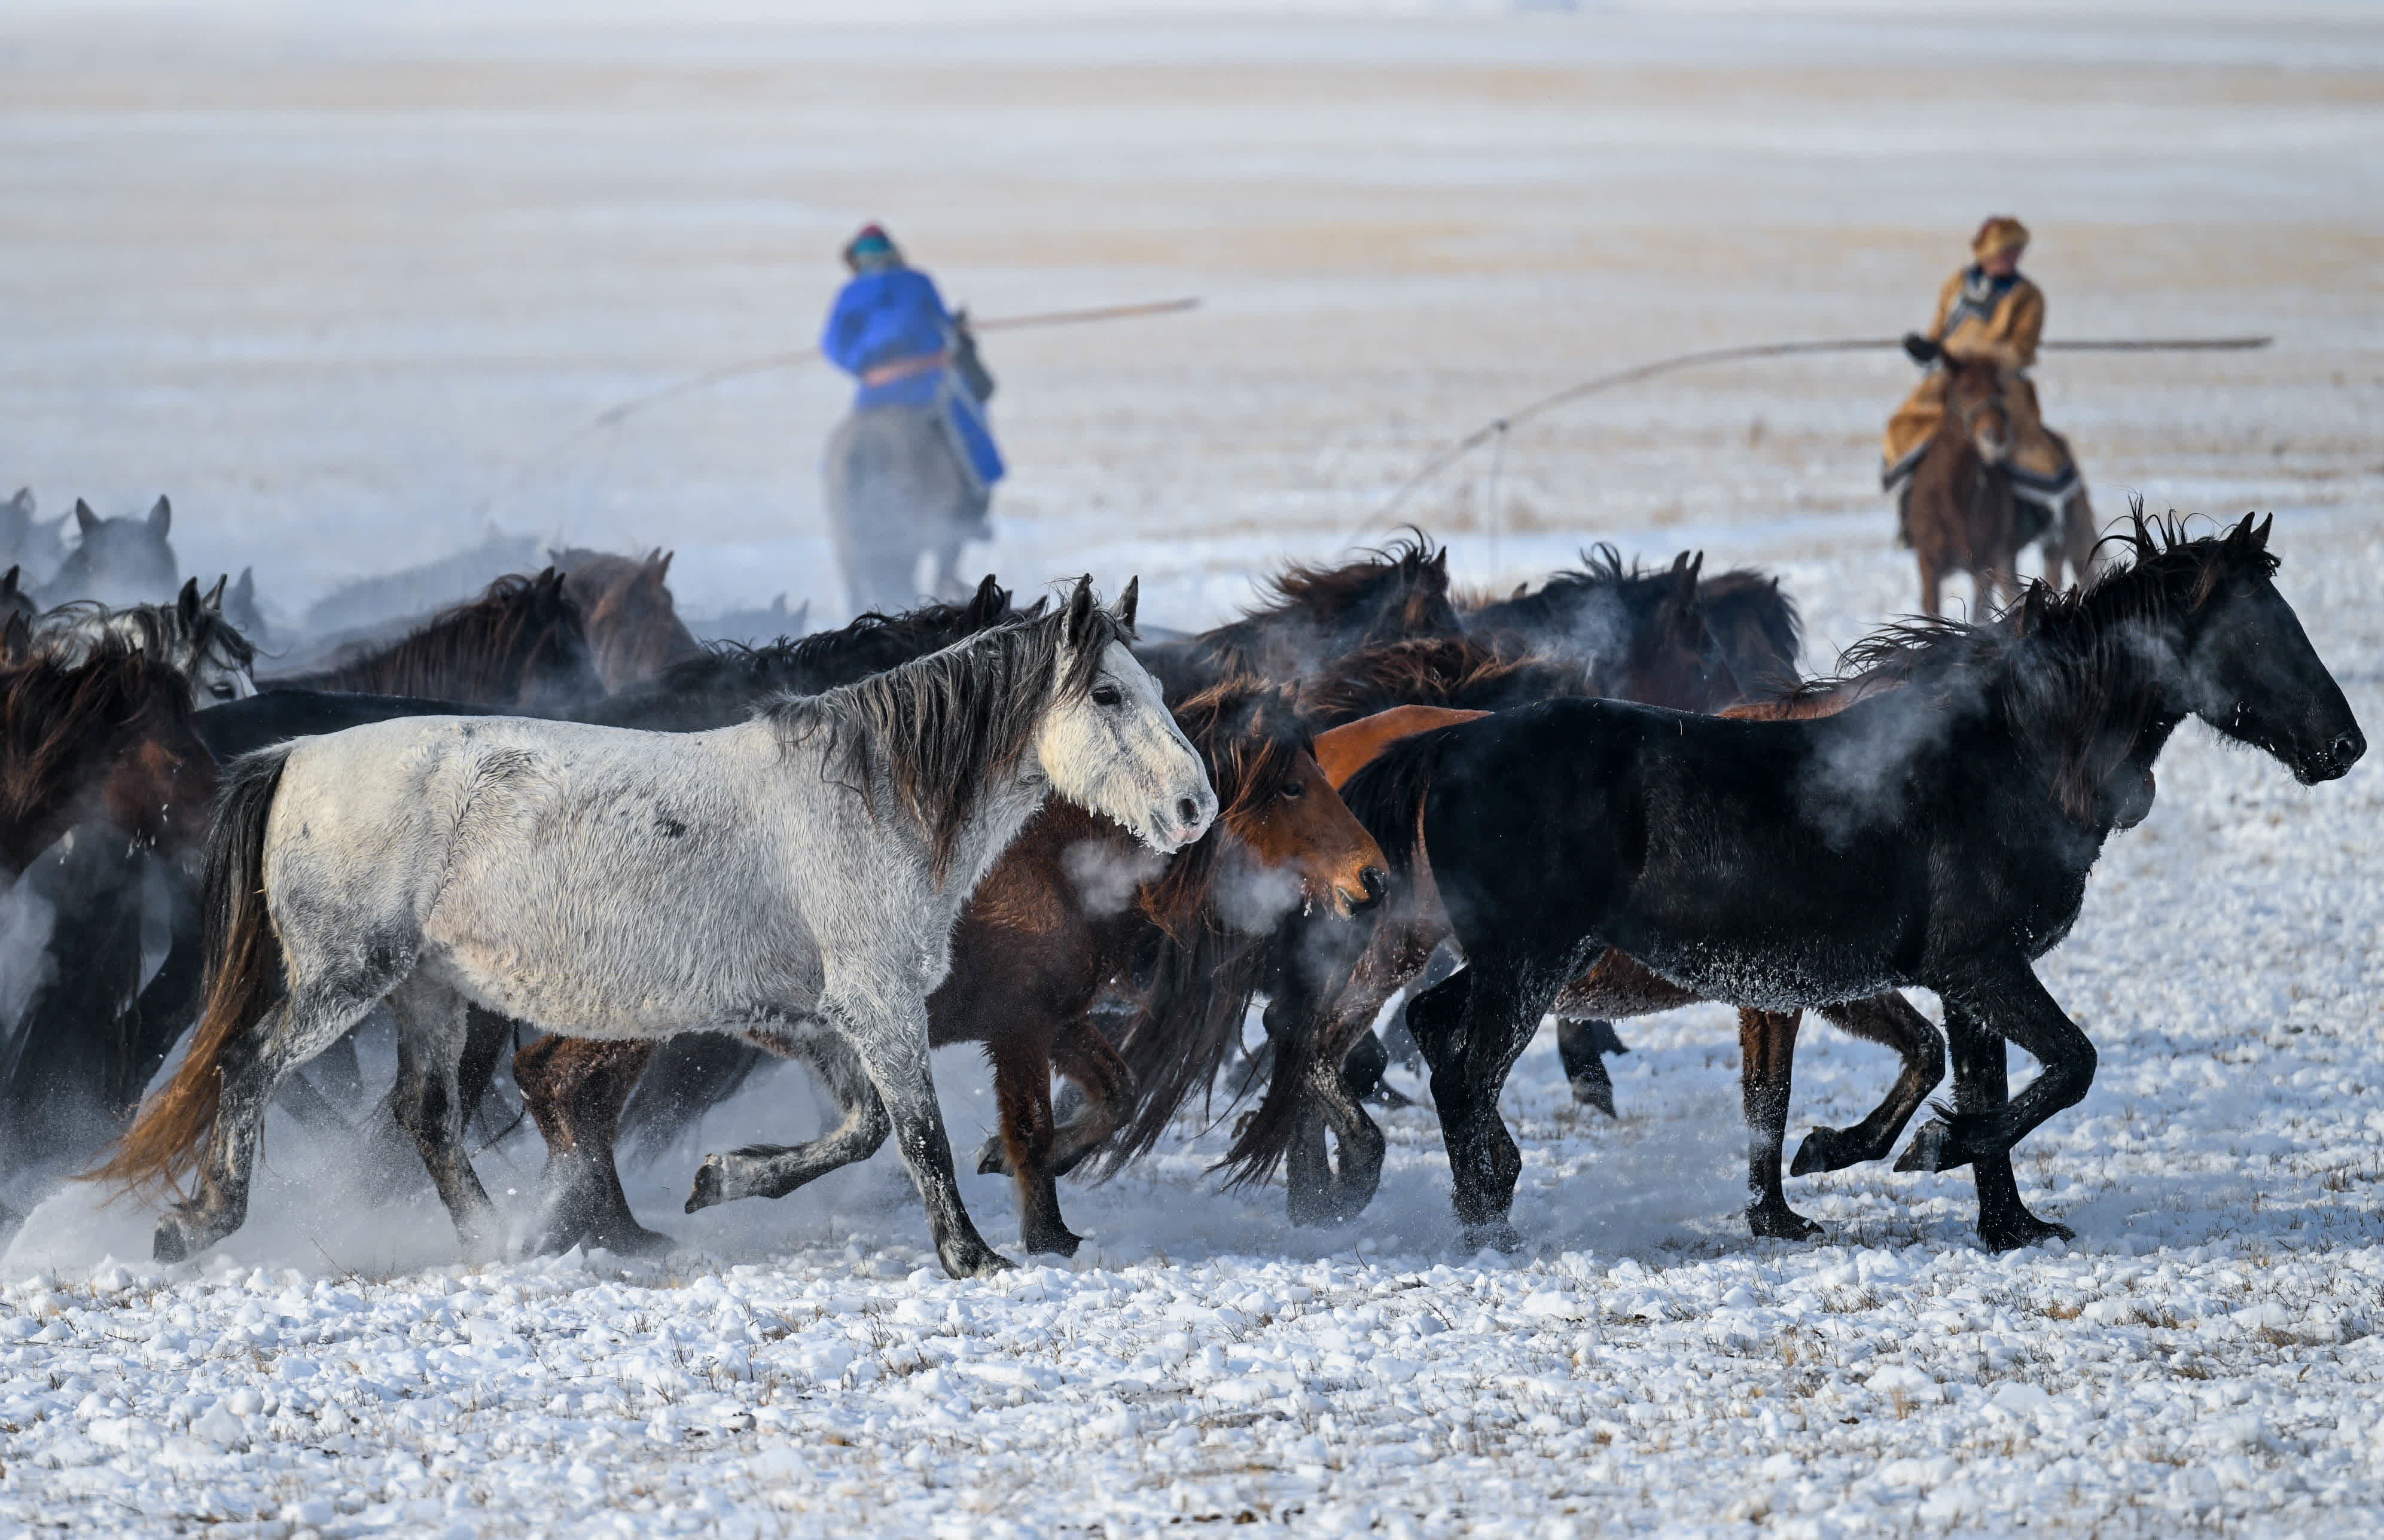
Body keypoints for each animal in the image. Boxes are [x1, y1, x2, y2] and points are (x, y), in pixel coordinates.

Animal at [512, 682, 1392, 1258]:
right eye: (1288, 786)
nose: (1374, 878)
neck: (1057, 857)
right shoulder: (1020, 1027)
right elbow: (1034, 1123)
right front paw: (1046, 1234)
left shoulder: (1055, 1017)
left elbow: (1111, 1095)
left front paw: (1005, 1168)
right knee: (555, 1083)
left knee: (561, 1087)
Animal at [1345, 514, 2365, 1258]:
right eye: (2259, 629)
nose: (2344, 745)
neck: (2008, 754)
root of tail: (1444, 743)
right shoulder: (1977, 964)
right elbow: (2062, 1066)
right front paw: (1922, 1149)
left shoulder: (1956, 980)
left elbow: (1977, 1080)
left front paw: (2005, 1224)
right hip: (1529, 963)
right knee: (1464, 1070)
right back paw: (1487, 1221)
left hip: (1524, 961)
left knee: (1434, 1033)